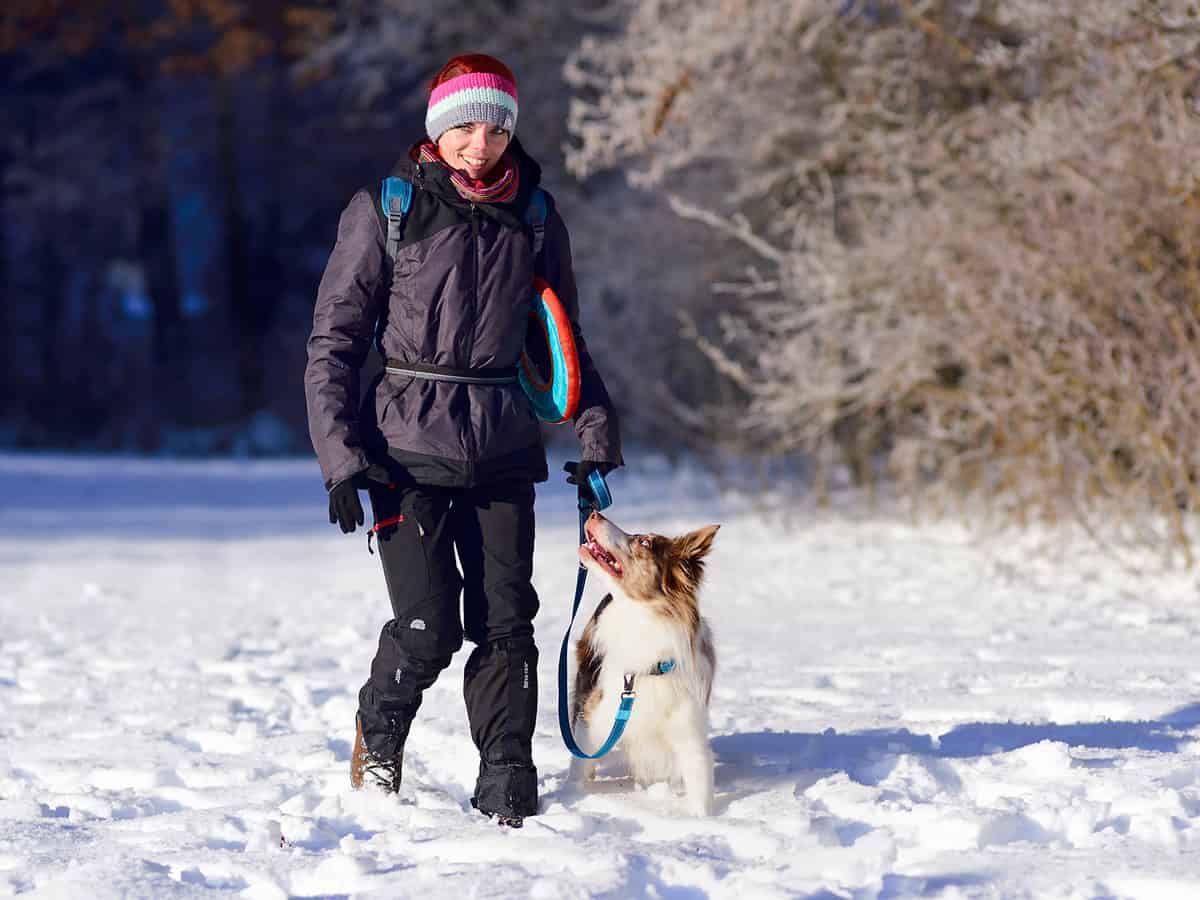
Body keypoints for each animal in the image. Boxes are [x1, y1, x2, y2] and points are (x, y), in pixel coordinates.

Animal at [571, 513, 720, 816]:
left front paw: (700, 818)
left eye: (645, 542)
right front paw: (575, 793)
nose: (593, 514)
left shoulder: (689, 730)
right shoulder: (593, 721)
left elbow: (699, 779)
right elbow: (581, 765)